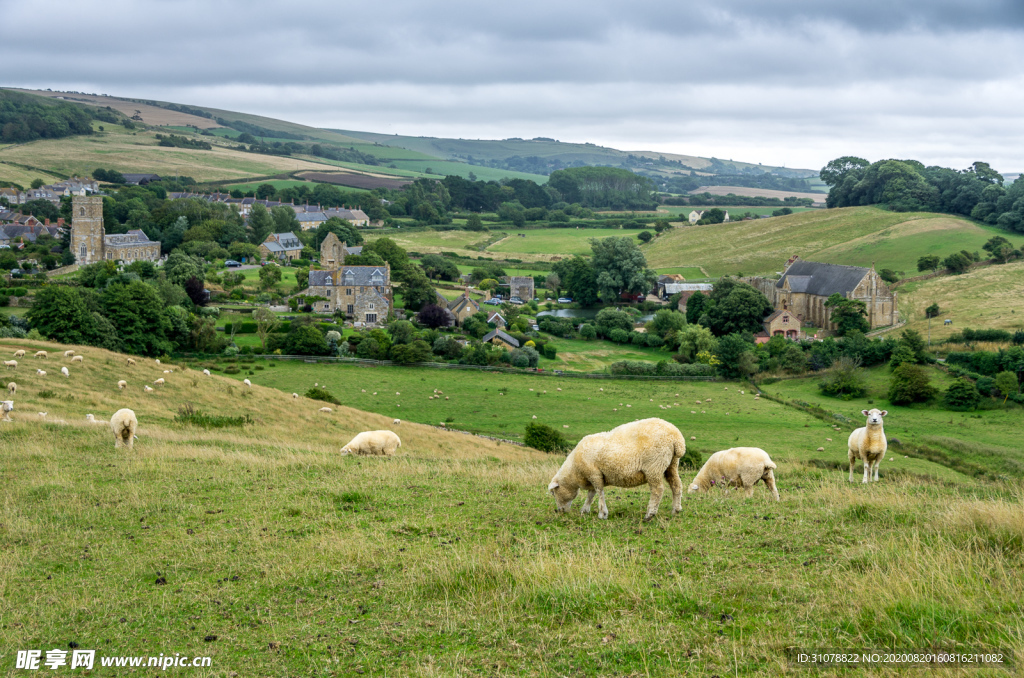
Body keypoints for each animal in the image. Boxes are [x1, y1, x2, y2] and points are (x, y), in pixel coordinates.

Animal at [548, 417, 684, 522]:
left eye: (554, 493)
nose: (560, 511)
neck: (574, 470)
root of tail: (677, 439)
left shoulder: (594, 474)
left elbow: (599, 492)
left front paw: (602, 514)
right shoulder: (593, 475)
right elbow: (591, 494)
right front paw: (585, 510)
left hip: (654, 465)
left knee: (657, 490)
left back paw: (649, 515)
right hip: (671, 464)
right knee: (676, 485)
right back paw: (676, 510)